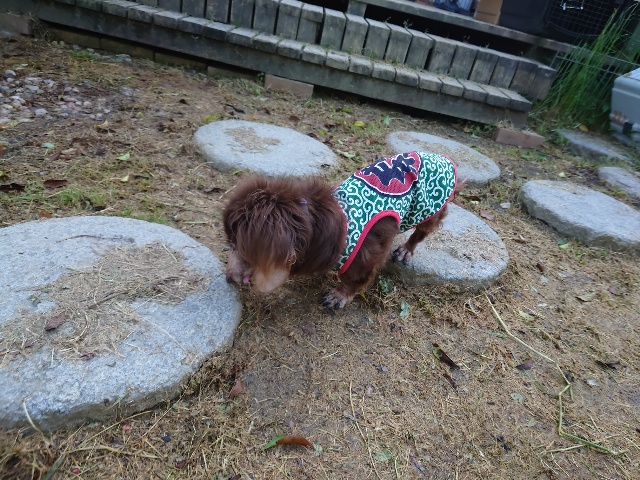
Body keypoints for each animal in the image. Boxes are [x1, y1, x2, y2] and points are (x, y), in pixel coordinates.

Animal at [223, 151, 459, 310]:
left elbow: (354, 279)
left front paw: (338, 296)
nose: (228, 278)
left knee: (420, 233)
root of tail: (444, 157)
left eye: (238, 246)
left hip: (429, 209)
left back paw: (405, 250)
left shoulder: (366, 257)